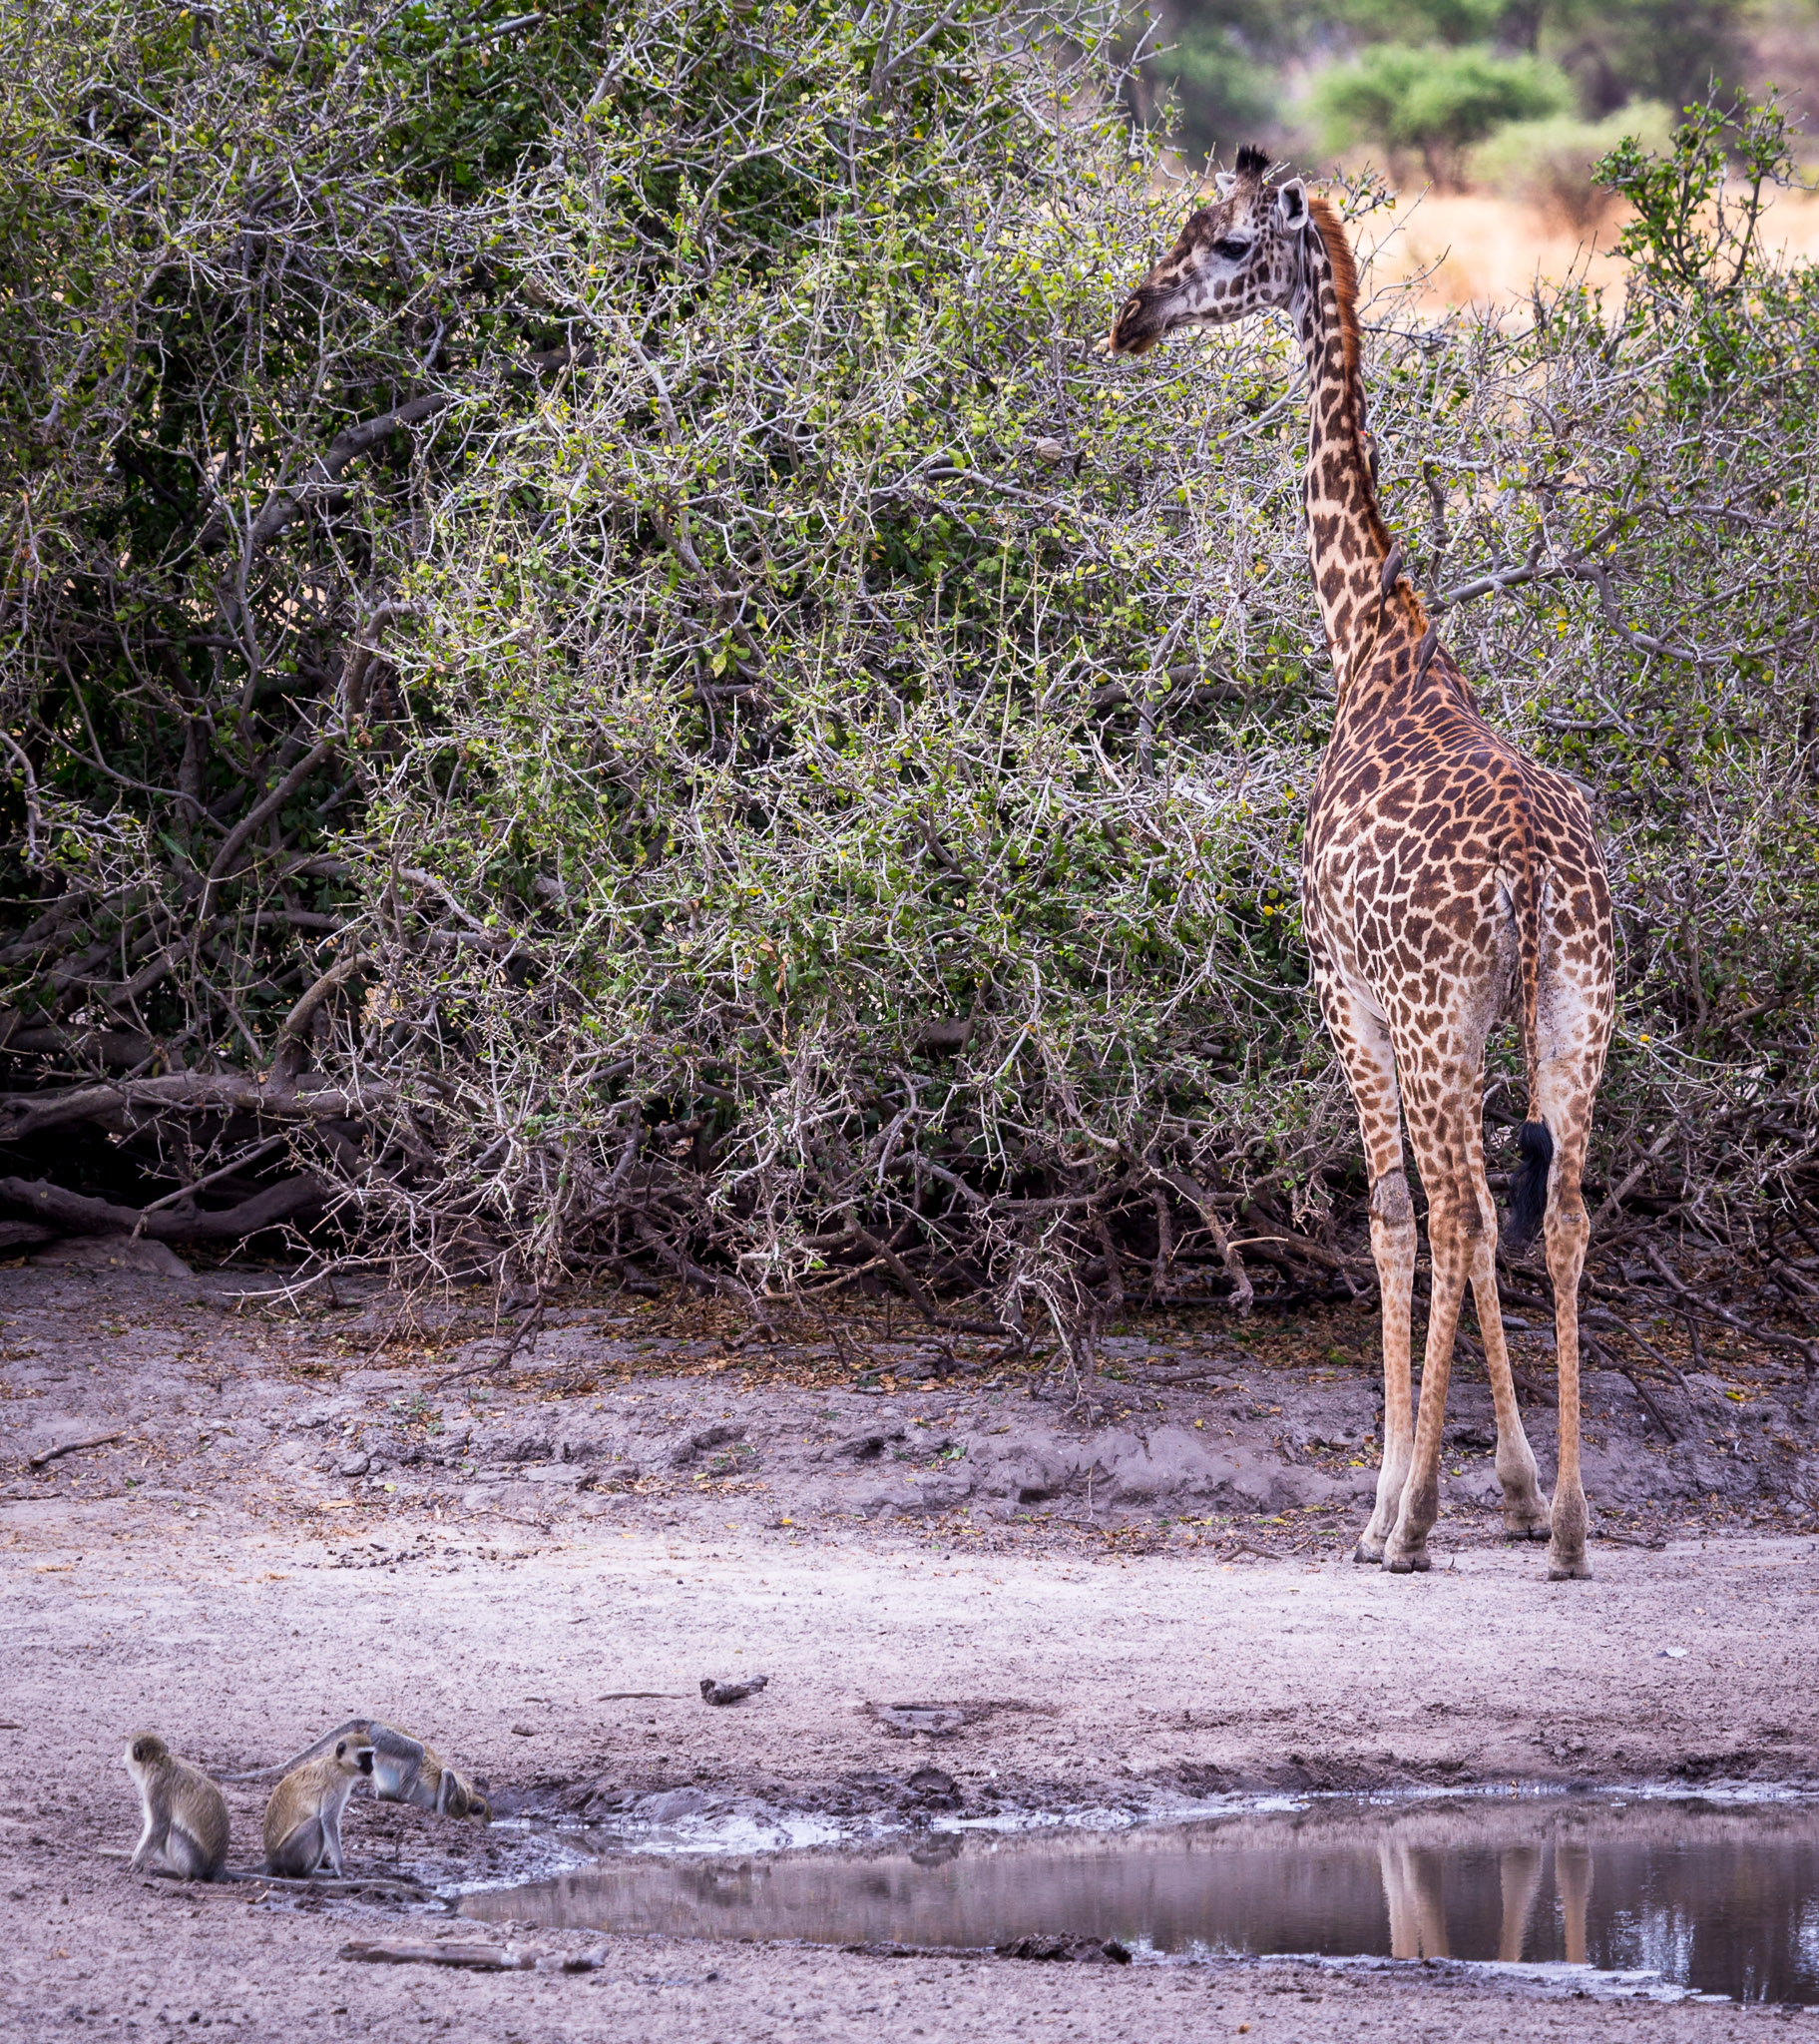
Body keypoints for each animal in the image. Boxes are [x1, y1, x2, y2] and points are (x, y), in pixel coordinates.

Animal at [120, 1733, 229, 1871]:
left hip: (196, 1859)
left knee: (173, 1828)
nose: (124, 1756)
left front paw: (136, 1863)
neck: (157, 1762)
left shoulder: (155, 1788)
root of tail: (216, 1866)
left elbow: (159, 1827)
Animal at [227, 1717, 488, 1831]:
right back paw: (403, 1798)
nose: (486, 1827)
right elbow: (447, 1777)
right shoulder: (458, 1795)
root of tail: (374, 1724)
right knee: (416, 1750)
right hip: (385, 1739)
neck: (468, 1801)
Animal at [263, 1733, 373, 1871]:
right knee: (317, 1822)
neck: (338, 1765)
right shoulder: (337, 1783)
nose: (372, 1766)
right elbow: (328, 1820)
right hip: (287, 1853)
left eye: (370, 1755)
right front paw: (340, 1867)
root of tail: (271, 1860)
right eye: (363, 1755)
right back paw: (309, 1872)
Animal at [1104, 148, 1618, 1578]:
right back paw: (1568, 1527)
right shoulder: (1459, 1011)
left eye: (1227, 244)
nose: (1131, 315)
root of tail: (1527, 867)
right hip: (1575, 1002)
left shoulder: (1344, 986)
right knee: (1555, 1210)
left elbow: (1389, 1213)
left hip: (1438, 1010)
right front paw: (1513, 1485)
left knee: (1450, 1210)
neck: (1372, 650)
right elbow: (1484, 1212)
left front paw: (1398, 1494)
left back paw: (1408, 1520)